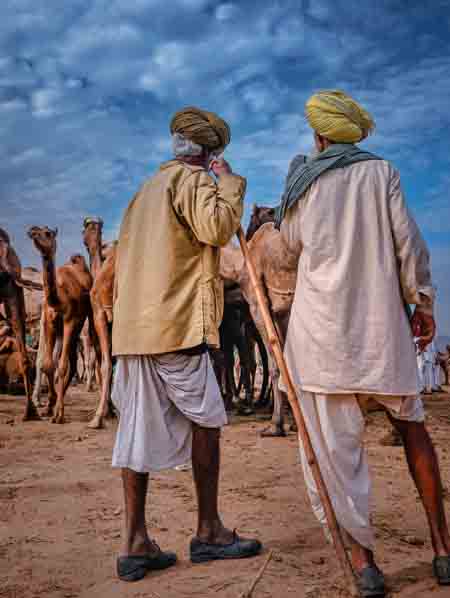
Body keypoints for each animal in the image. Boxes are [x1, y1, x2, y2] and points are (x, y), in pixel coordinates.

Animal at [27, 227, 93, 424]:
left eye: (48, 233)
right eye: (37, 230)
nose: (32, 231)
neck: (59, 299)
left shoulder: (70, 321)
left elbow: (62, 366)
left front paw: (59, 413)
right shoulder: (49, 323)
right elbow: (48, 364)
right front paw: (49, 406)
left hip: (79, 326)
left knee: (71, 362)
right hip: (62, 332)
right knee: (69, 361)